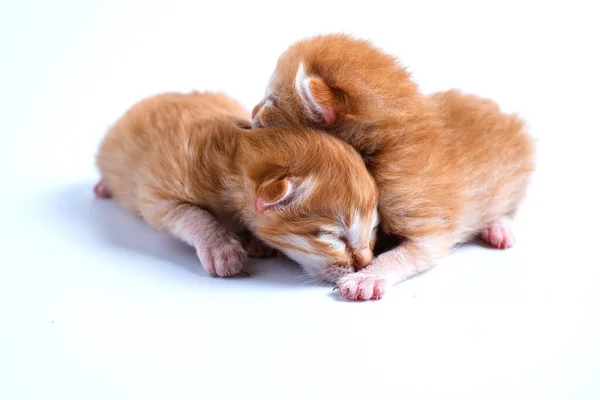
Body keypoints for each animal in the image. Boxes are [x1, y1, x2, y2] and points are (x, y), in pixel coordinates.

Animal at [95, 92, 380, 282]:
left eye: (373, 230)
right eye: (332, 236)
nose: (366, 264)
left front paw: (257, 242)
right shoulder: (159, 193)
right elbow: (192, 214)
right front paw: (221, 248)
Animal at [250, 34, 536, 300]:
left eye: (271, 100)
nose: (252, 114)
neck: (386, 145)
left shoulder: (428, 223)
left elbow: (405, 254)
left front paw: (367, 278)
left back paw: (497, 228)